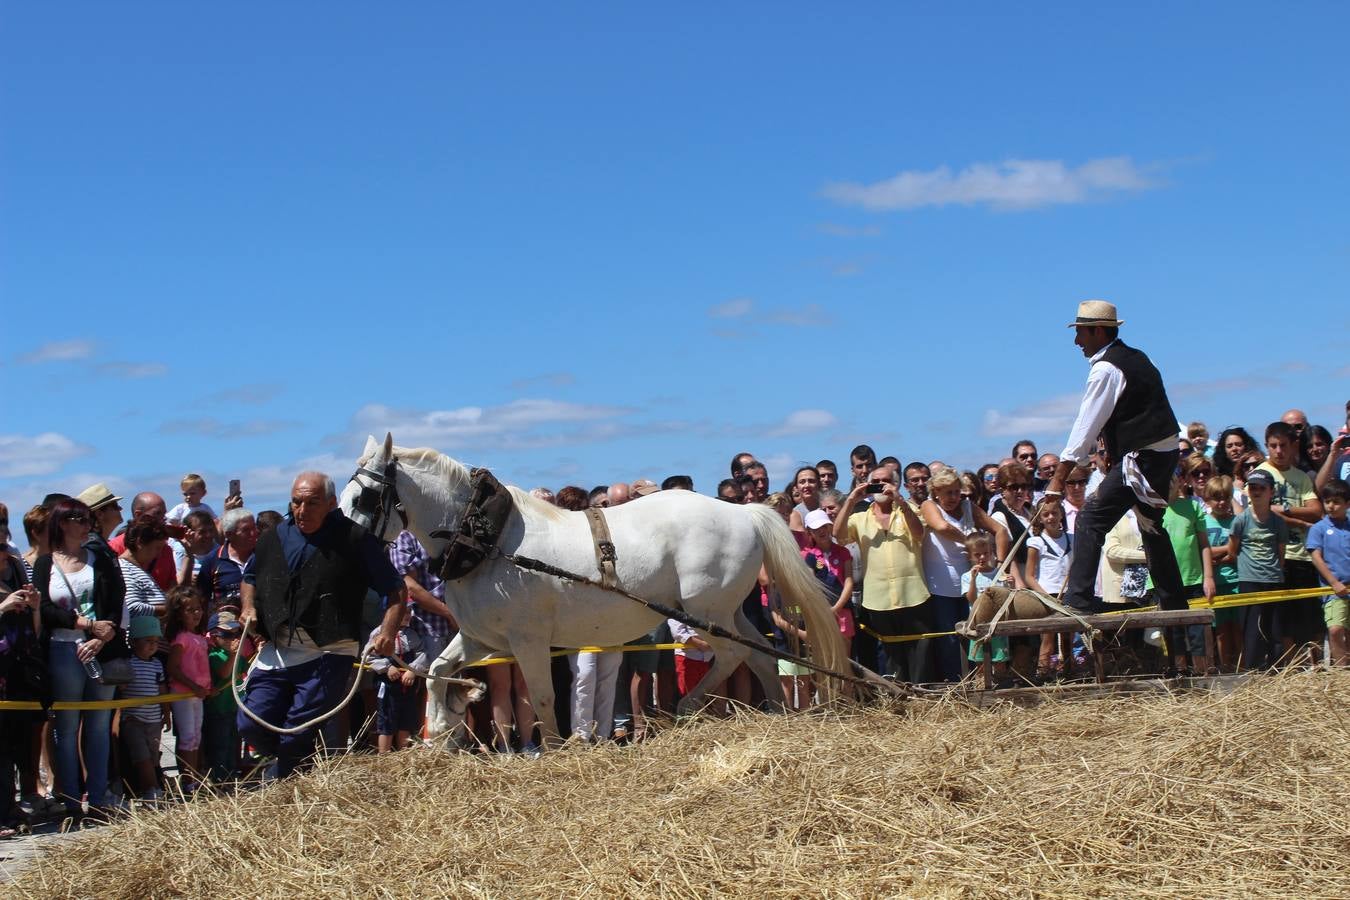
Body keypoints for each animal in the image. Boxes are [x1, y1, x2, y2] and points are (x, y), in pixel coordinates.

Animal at [340, 434, 842, 744]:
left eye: (365, 496)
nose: (348, 548)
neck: (486, 540)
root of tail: (743, 513)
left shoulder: (527, 639)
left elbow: (542, 695)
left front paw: (555, 746)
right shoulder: (482, 637)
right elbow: (438, 669)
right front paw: (446, 726)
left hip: (707, 612)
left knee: (738, 652)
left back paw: (691, 706)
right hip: (724, 611)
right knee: (758, 654)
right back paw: (772, 709)